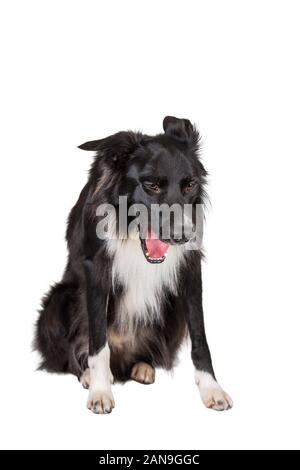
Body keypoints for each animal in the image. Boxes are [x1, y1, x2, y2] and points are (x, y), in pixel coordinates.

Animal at [34, 117, 232, 414]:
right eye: (151, 185)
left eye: (190, 186)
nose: (183, 236)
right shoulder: (95, 270)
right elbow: (97, 342)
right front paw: (100, 391)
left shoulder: (190, 269)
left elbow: (200, 337)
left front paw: (212, 389)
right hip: (59, 299)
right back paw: (88, 374)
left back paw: (142, 367)